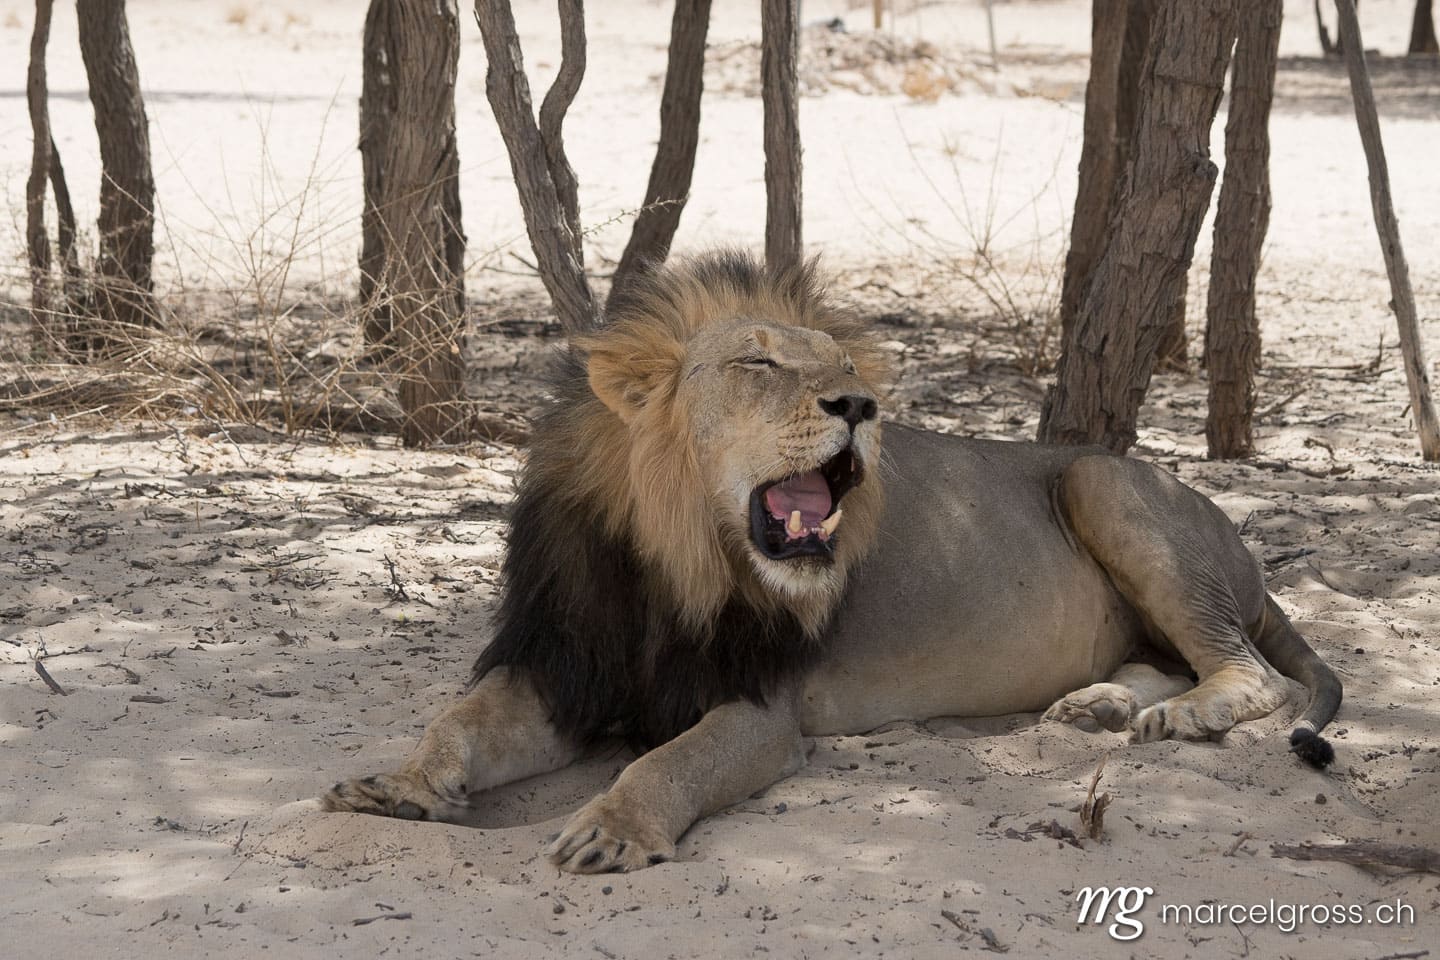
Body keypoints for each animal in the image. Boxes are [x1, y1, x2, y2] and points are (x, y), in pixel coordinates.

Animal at [323, 251, 1341, 874]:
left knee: (1251, 673)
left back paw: (1182, 715)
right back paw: (1098, 707)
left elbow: (669, 764)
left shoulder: (763, 709)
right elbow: (457, 723)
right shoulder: (568, 668)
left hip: (1101, 480)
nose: (857, 404)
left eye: (845, 367)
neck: (674, 562)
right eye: (758, 363)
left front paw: (612, 830)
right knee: (1163, 661)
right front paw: (395, 786)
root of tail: (1243, 549)